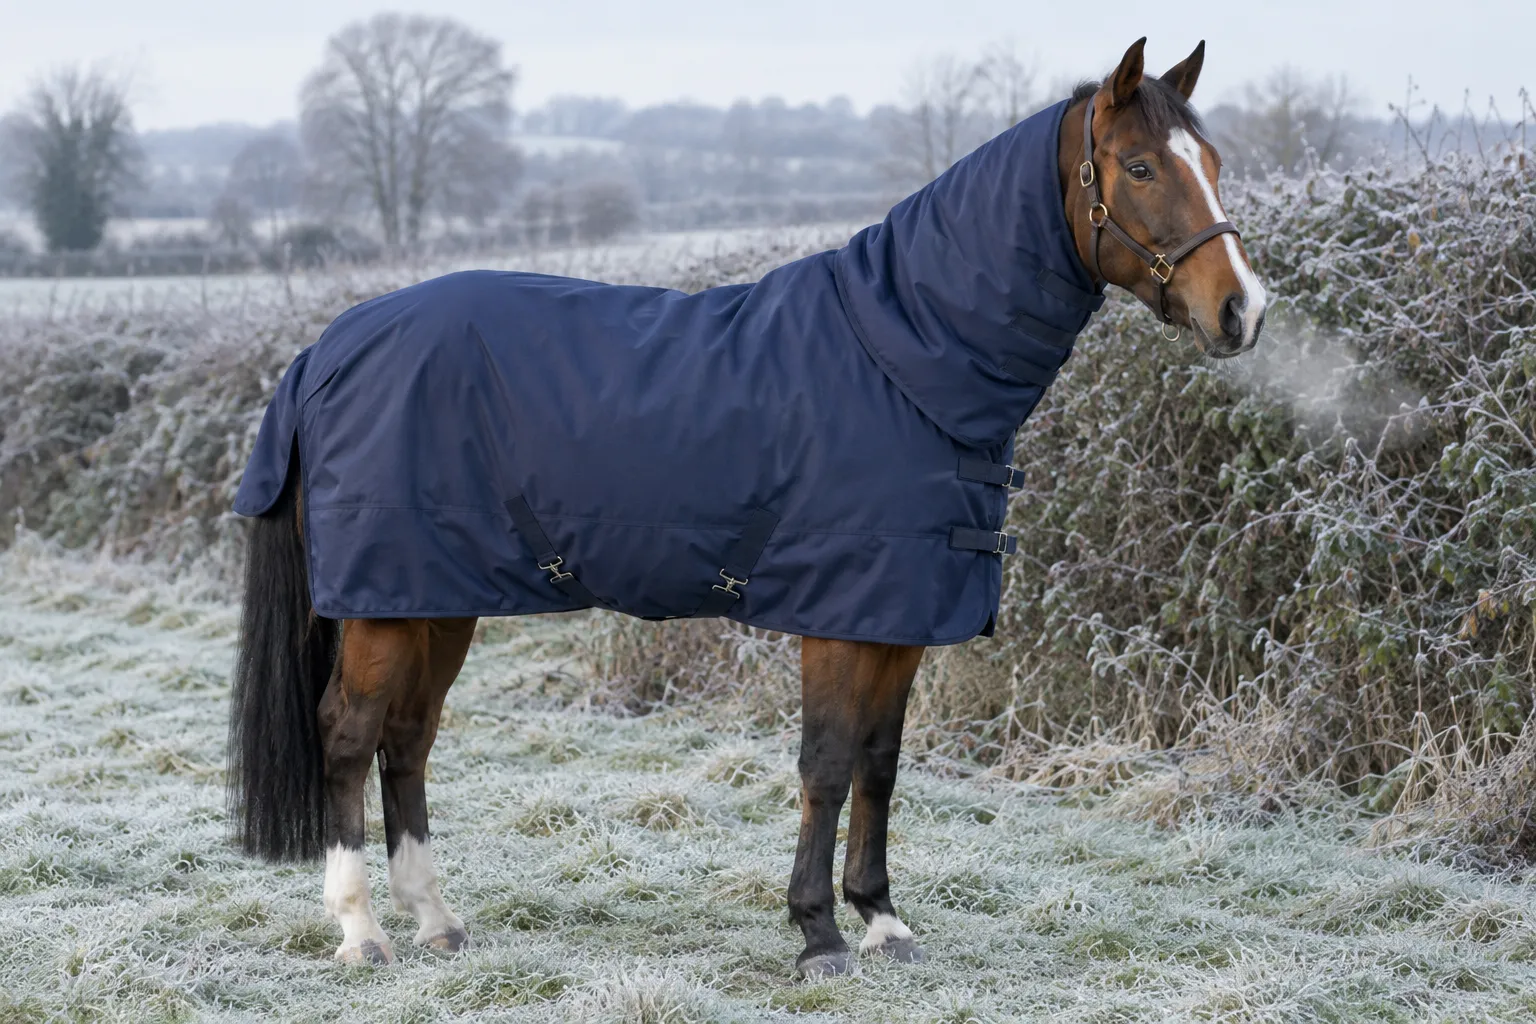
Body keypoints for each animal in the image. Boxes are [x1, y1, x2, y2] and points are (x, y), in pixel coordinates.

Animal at [227, 37, 1266, 978]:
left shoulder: (900, 617)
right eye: (1139, 166)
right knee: (349, 735)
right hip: (386, 604)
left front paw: (882, 921)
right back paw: (360, 931)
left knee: (407, 739)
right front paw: (818, 933)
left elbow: (880, 763)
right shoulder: (838, 617)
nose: (1243, 312)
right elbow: (826, 763)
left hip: (435, 600)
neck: (903, 357)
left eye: (1213, 163)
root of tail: (329, 348)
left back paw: (436, 921)